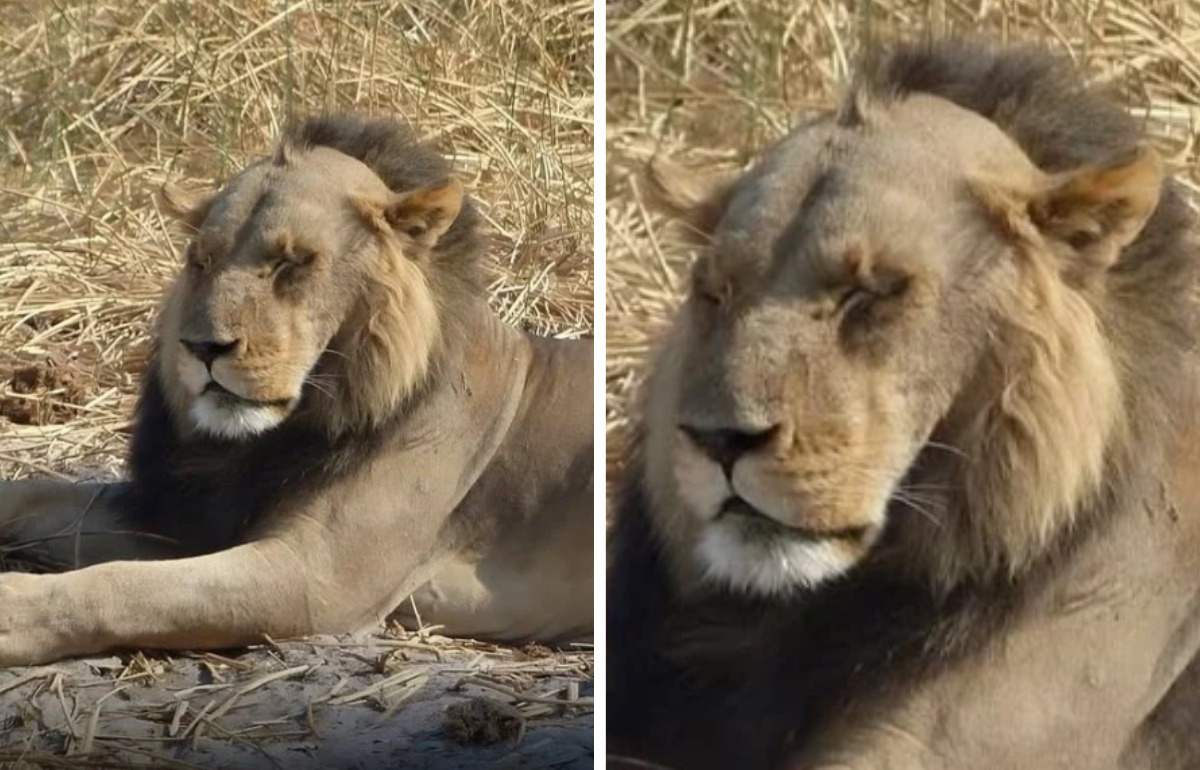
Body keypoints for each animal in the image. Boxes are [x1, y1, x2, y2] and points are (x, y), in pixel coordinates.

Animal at [0, 115, 593, 666]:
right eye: (201, 260)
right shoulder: (186, 516)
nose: (202, 347)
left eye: (293, 261)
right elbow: (39, 496)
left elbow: (126, 585)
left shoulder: (315, 580)